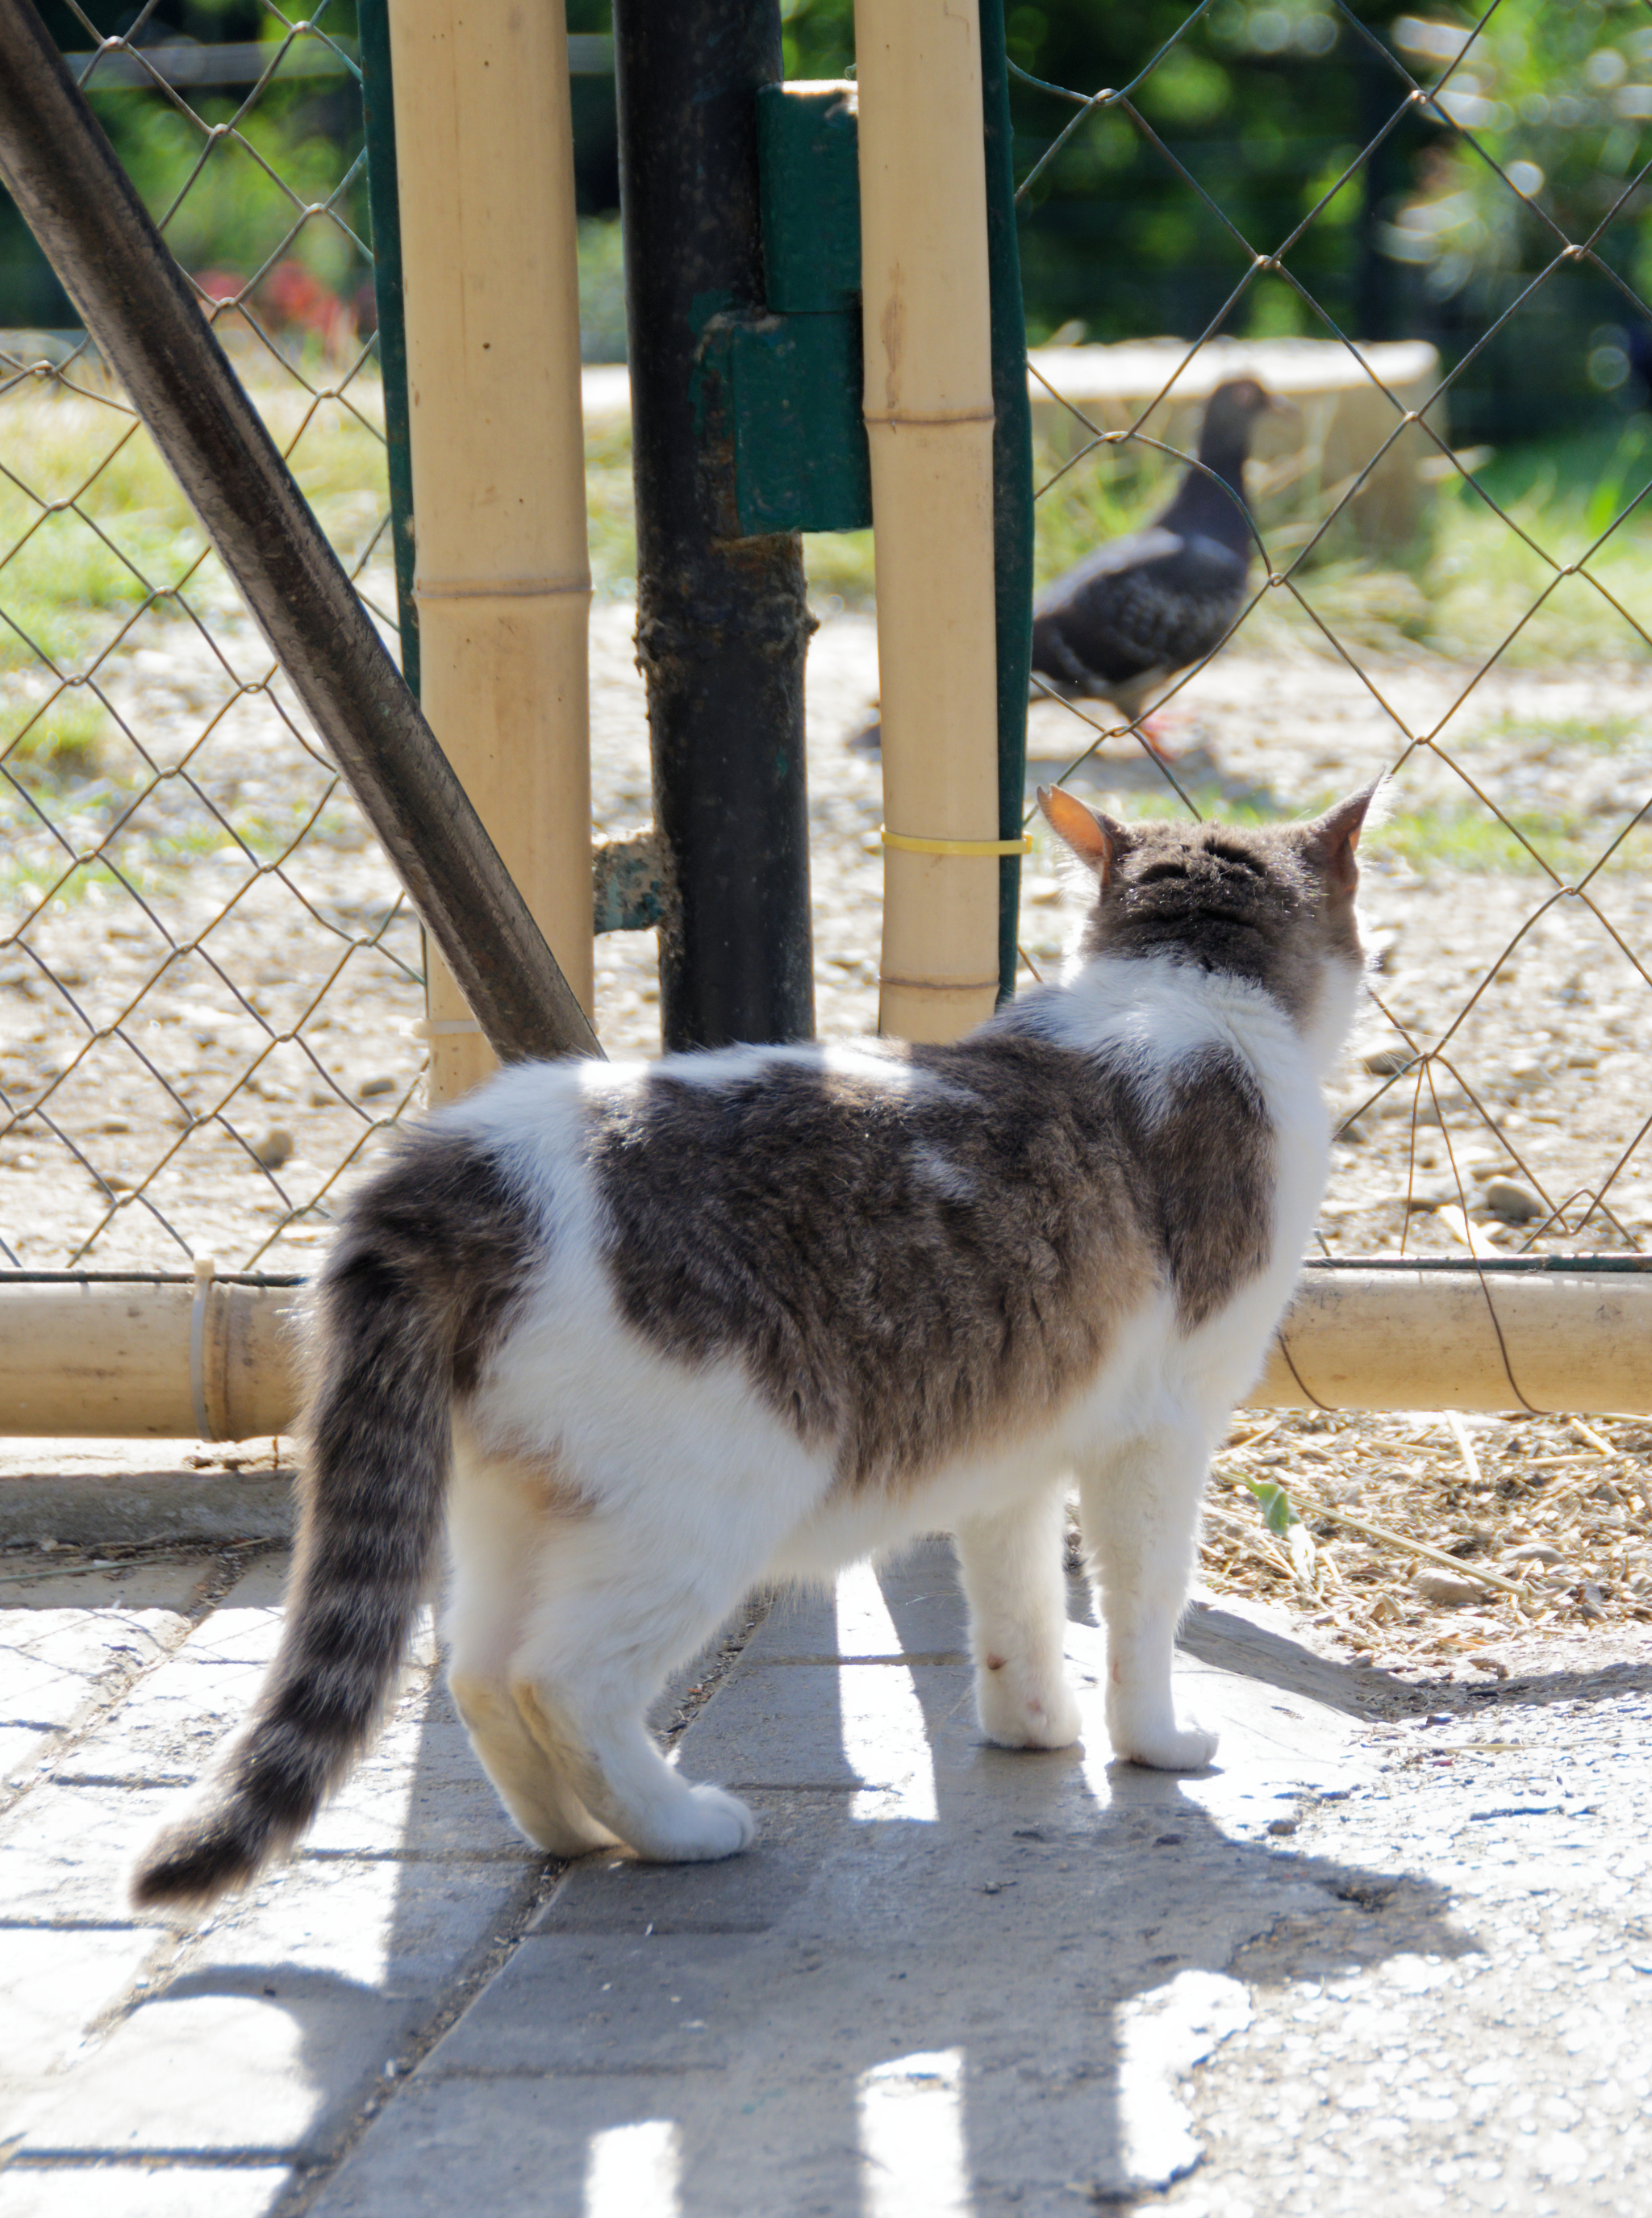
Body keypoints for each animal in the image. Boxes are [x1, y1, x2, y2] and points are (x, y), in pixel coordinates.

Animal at [128, 785, 1375, 1907]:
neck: (1183, 986)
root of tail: (458, 1167)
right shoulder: (1162, 1431)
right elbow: (1142, 1604)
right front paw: (1151, 1742)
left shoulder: (1012, 1450)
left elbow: (1016, 1606)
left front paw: (1034, 1730)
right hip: (706, 1504)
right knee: (559, 1682)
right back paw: (678, 1828)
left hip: (512, 1504)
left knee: (478, 1676)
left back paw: (575, 1833)